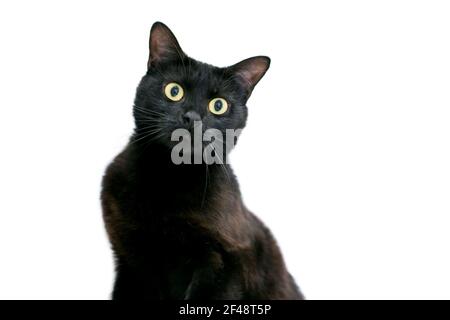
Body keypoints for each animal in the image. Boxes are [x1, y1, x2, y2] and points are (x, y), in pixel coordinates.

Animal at [101, 22, 304, 300]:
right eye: (174, 90)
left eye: (218, 105)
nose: (192, 117)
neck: (167, 175)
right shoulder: (130, 263)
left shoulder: (226, 259)